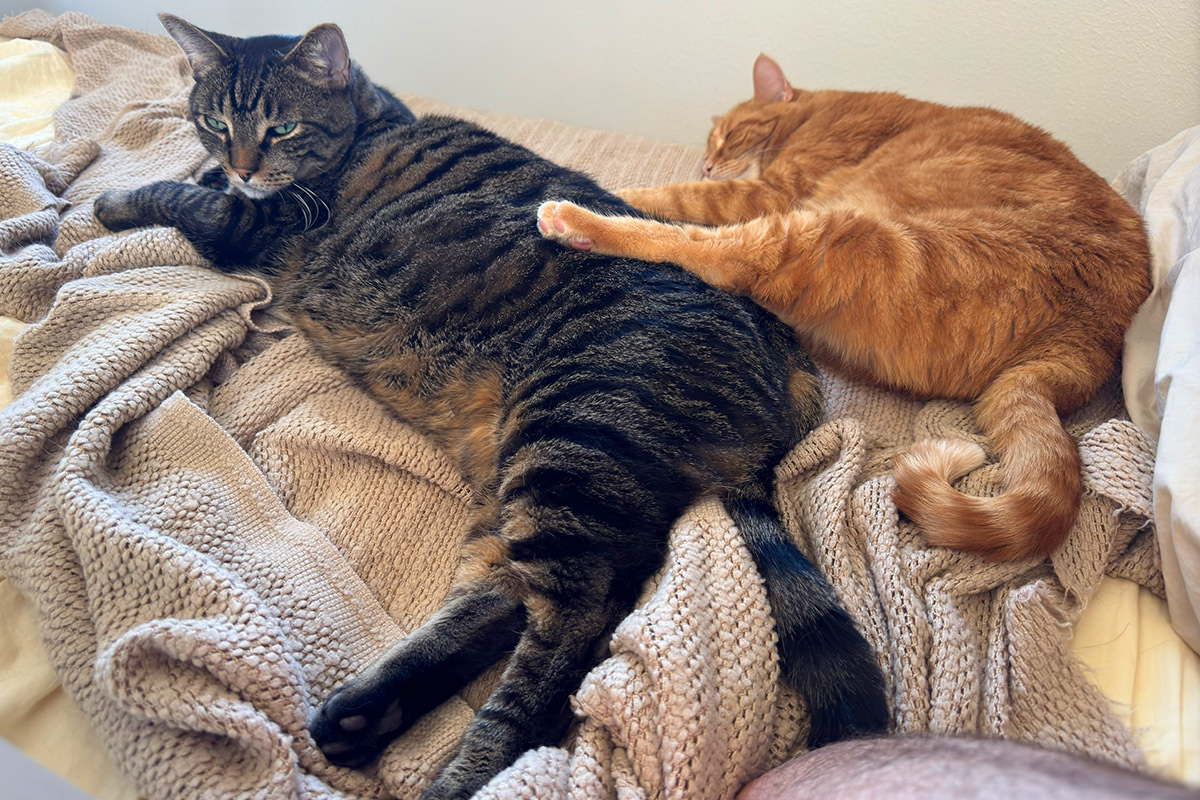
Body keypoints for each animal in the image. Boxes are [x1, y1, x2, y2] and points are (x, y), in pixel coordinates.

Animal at [96, 17, 892, 800]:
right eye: (214, 120)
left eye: (282, 127)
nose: (241, 164)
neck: (368, 121)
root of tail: (784, 355)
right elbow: (193, 180)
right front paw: (191, 172)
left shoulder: (249, 223)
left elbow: (172, 195)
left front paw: (114, 200)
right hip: (525, 473)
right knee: (502, 595)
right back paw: (364, 716)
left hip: (571, 442)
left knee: (568, 639)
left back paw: (456, 773)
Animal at [537, 53, 1152, 561]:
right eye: (710, 145)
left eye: (727, 137)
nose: (709, 163)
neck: (816, 112)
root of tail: (1097, 328)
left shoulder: (770, 193)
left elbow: (672, 196)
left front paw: (615, 188)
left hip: (833, 235)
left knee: (712, 253)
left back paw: (577, 219)